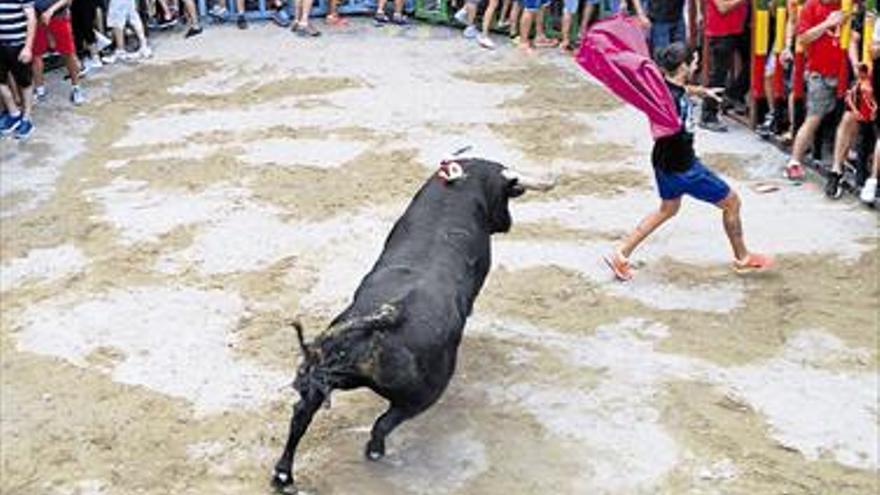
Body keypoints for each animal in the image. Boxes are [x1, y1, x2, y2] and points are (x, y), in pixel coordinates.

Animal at [272, 159, 552, 492]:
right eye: (508, 194)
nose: (507, 223)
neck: (454, 196)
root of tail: (381, 320)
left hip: (319, 377)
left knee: (300, 416)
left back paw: (282, 474)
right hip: (425, 393)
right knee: (384, 422)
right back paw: (375, 452)